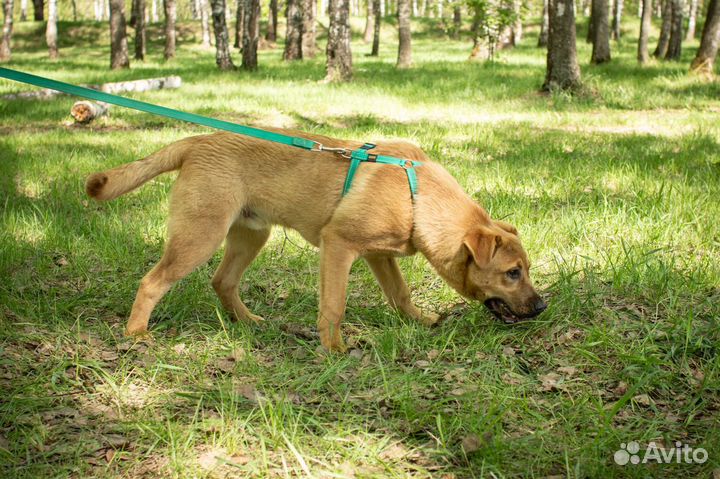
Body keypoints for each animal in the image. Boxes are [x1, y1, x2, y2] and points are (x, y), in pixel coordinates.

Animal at [84, 129, 544, 350]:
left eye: (525, 270)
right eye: (512, 272)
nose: (542, 307)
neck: (416, 196)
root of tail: (199, 140)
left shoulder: (380, 256)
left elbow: (400, 293)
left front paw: (418, 320)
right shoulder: (339, 246)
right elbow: (334, 306)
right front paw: (334, 347)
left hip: (251, 235)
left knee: (223, 281)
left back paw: (247, 322)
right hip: (200, 236)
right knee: (152, 282)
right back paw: (136, 334)